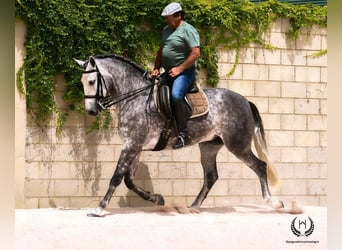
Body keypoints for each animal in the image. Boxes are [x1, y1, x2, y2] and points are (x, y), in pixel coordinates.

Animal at [73, 53, 284, 216]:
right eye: (82, 82)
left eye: (91, 81)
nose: (91, 111)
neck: (135, 97)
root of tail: (246, 101)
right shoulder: (135, 146)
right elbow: (129, 181)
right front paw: (157, 199)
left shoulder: (131, 144)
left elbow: (117, 177)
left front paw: (99, 208)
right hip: (209, 147)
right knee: (211, 177)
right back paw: (193, 207)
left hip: (238, 145)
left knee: (260, 166)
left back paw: (273, 202)